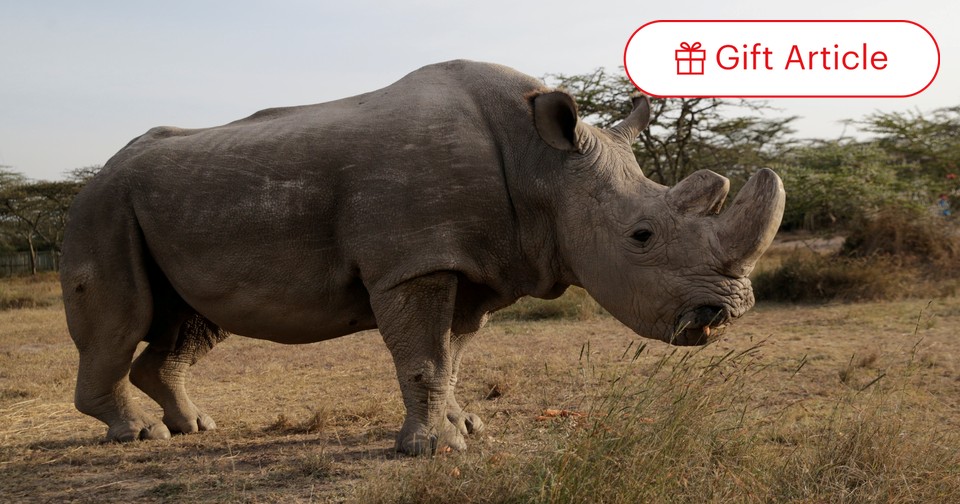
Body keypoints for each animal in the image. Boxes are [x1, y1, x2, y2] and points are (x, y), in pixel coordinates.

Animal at [61, 59, 784, 455]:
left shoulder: (475, 264)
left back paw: (195, 428)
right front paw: (432, 450)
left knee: (190, 323)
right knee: (122, 317)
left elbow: (451, 357)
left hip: (163, 207)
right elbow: (424, 358)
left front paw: (467, 427)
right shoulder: (413, 263)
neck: (543, 165)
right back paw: (140, 435)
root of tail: (97, 173)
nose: (725, 314)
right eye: (642, 236)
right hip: (102, 208)